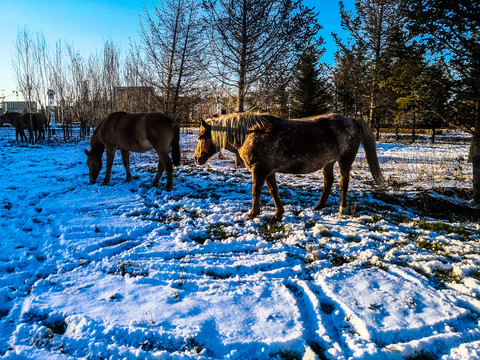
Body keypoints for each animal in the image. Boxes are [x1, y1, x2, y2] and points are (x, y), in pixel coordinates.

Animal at [195, 112, 386, 219]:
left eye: (201, 137)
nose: (197, 158)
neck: (251, 134)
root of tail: (352, 121)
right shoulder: (268, 171)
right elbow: (274, 191)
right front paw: (279, 213)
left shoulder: (259, 171)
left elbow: (256, 191)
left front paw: (253, 214)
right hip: (328, 162)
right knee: (328, 182)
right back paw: (319, 206)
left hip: (345, 159)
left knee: (343, 183)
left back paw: (342, 209)